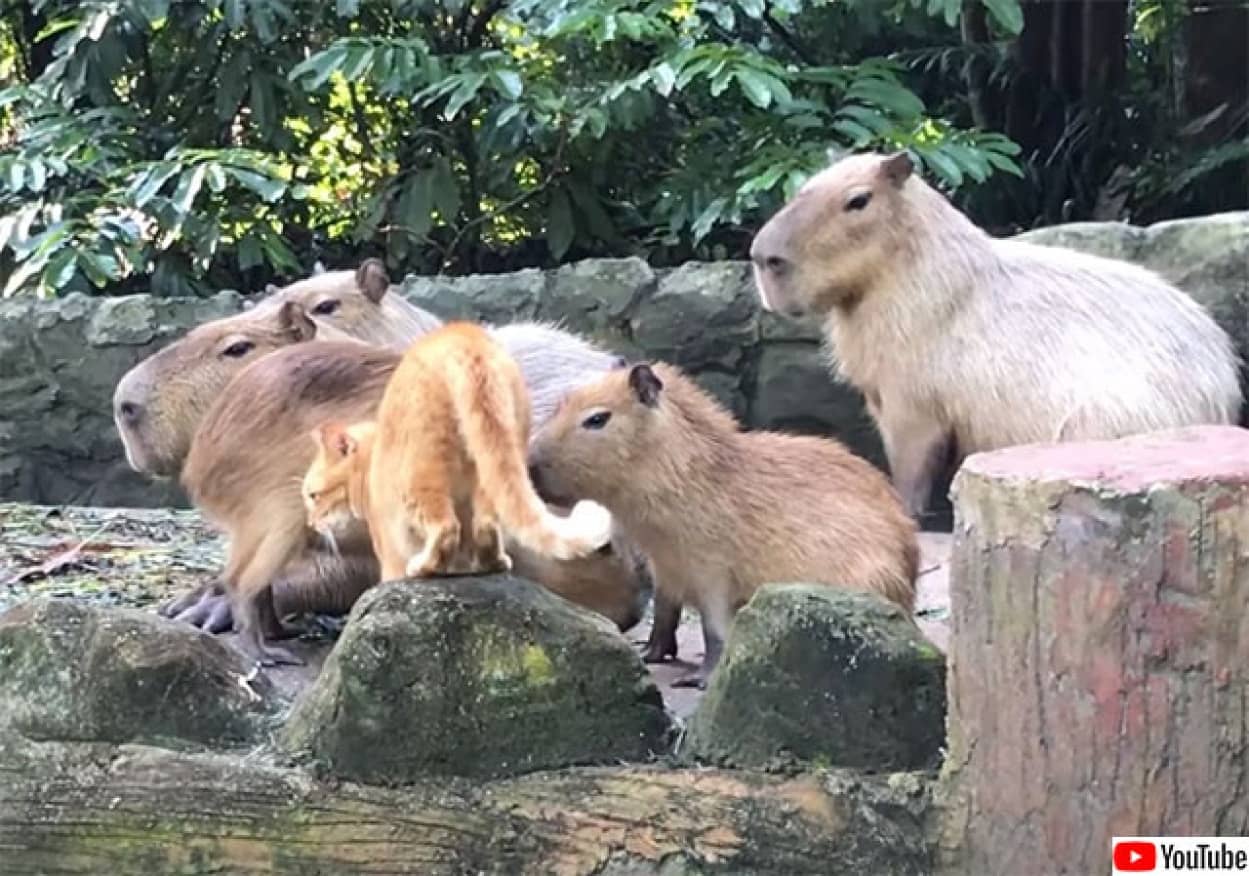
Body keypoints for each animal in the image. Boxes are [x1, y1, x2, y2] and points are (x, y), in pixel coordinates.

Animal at [302, 322, 614, 579]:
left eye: (313, 495)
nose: (311, 524)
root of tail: (464, 340)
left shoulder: (390, 547)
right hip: (495, 463)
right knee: (486, 525)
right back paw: (491, 563)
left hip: (420, 478)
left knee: (446, 528)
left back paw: (424, 568)